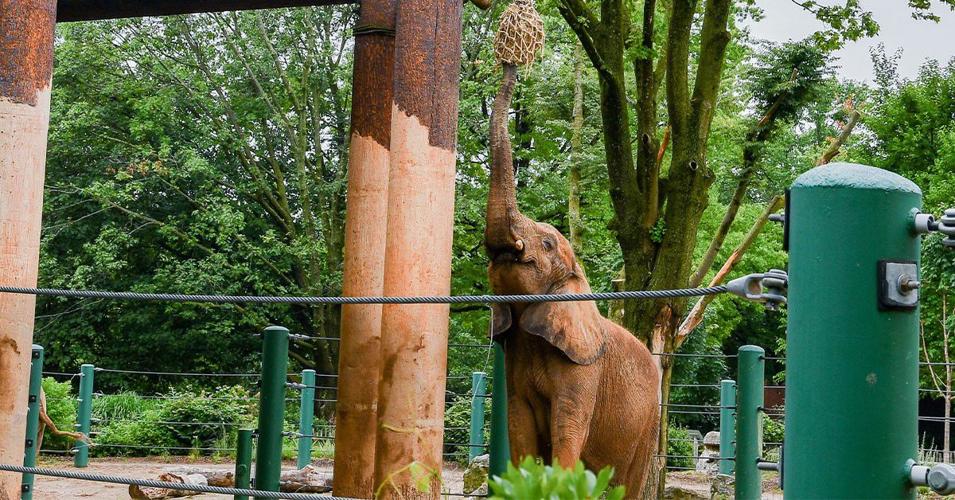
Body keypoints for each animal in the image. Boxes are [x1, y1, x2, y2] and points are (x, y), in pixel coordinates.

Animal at [484, 62, 660, 497]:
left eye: (547, 243)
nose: (510, 65)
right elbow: (519, 426)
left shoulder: (585, 371)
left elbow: (568, 425)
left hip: (649, 423)